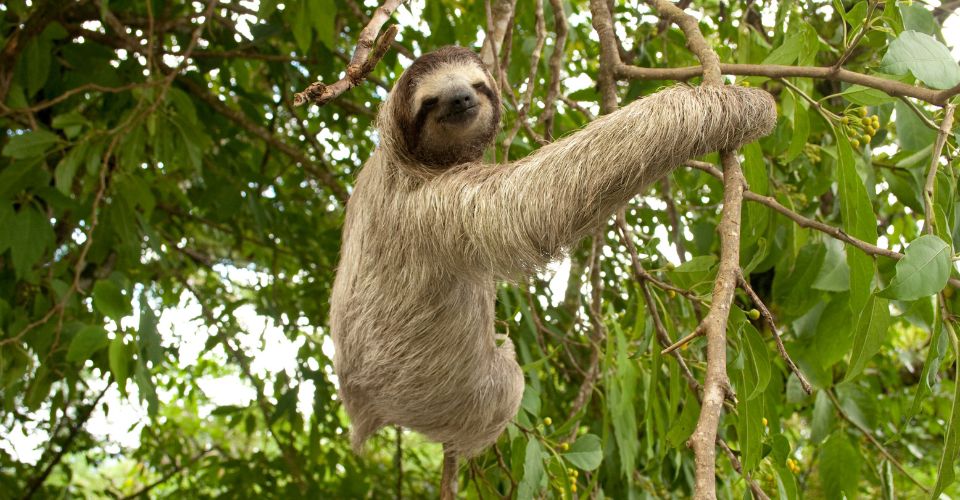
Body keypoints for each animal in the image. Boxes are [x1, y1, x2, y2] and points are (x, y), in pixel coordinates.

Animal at [329, 46, 776, 460]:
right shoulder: (436, 204)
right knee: (507, 387)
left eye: (476, 84)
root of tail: (361, 407)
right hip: (439, 396)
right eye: (430, 101)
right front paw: (743, 104)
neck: (409, 160)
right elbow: (533, 207)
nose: (460, 99)